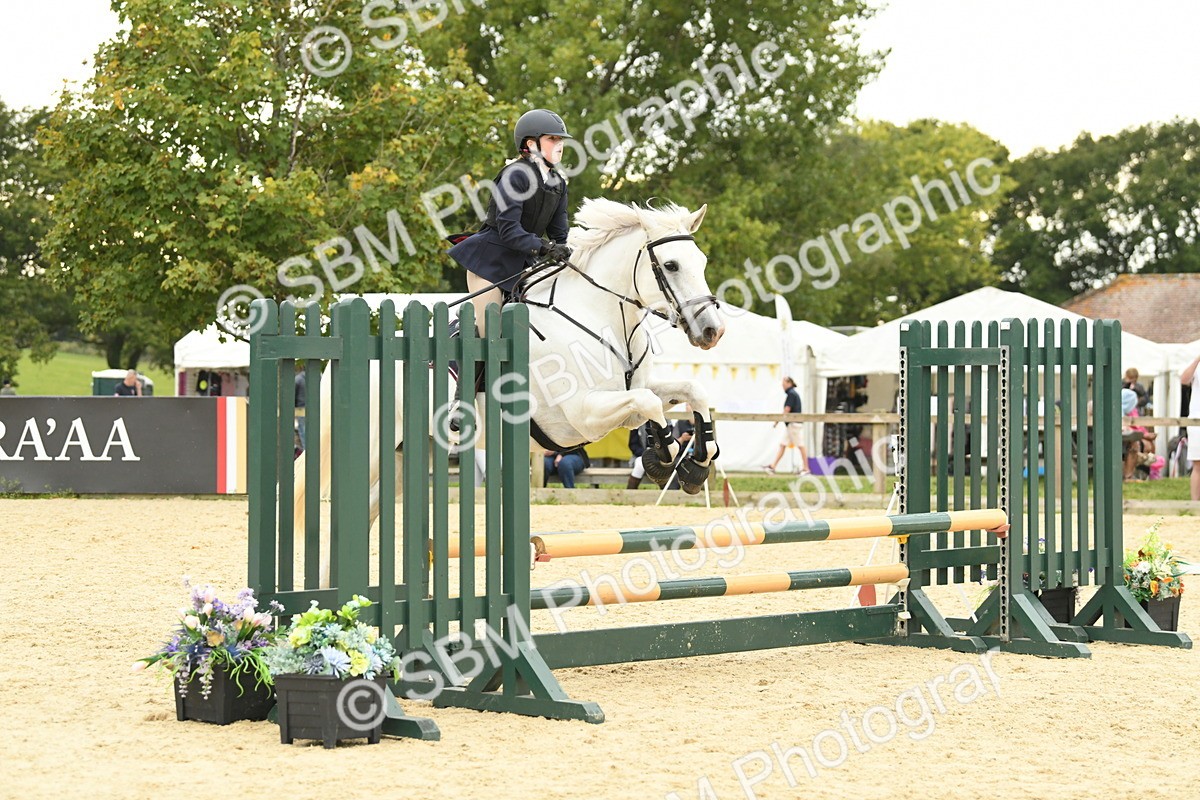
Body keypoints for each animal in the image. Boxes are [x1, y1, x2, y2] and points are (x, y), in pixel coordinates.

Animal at [293, 198, 726, 583]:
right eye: (670, 265)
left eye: (702, 262)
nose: (712, 331)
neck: (600, 316)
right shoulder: (582, 415)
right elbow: (650, 405)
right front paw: (663, 459)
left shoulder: (630, 394)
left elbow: (691, 392)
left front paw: (696, 465)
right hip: (370, 451)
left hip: (406, 459)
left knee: (364, 511)